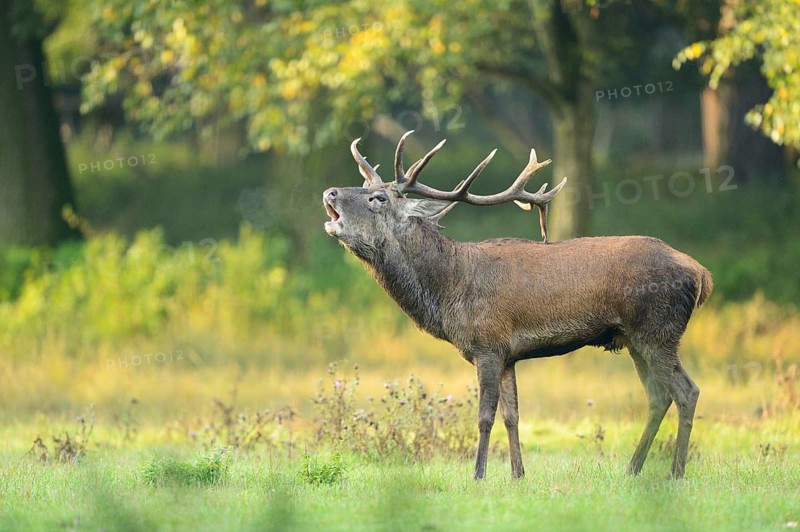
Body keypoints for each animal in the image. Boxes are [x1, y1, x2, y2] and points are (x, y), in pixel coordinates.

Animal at [322, 130, 712, 480]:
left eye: (378, 198)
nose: (330, 192)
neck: (449, 291)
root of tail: (701, 273)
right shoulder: (508, 354)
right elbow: (513, 416)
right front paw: (517, 474)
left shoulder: (488, 345)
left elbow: (485, 416)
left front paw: (478, 475)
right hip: (633, 339)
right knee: (658, 396)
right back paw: (632, 469)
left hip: (658, 331)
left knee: (687, 391)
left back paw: (675, 472)